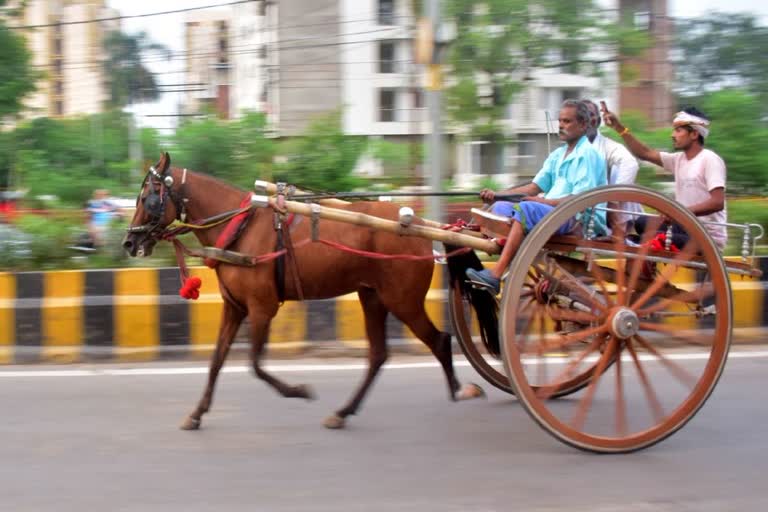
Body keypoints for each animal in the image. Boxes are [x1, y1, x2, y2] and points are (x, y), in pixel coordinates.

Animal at [123, 153, 484, 432]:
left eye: (148, 197)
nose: (129, 241)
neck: (240, 227)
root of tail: (422, 225)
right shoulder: (235, 307)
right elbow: (216, 361)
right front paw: (197, 414)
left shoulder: (262, 307)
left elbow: (255, 364)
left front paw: (297, 390)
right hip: (373, 297)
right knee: (379, 355)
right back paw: (343, 412)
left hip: (402, 299)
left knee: (439, 341)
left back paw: (459, 390)